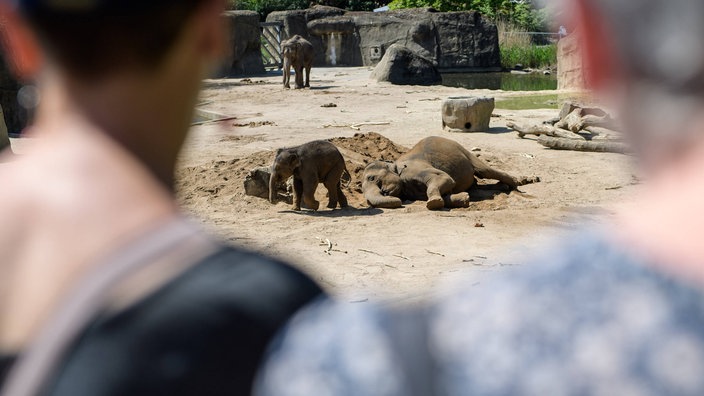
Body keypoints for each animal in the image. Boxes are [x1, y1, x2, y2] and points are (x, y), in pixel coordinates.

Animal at [364, 136, 540, 210]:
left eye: (372, 178)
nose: (385, 192)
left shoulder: (414, 169)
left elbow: (444, 178)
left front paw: (433, 203)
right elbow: (448, 192)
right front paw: (464, 198)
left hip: (465, 152)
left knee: (486, 171)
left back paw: (515, 184)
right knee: (477, 186)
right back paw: (502, 187)